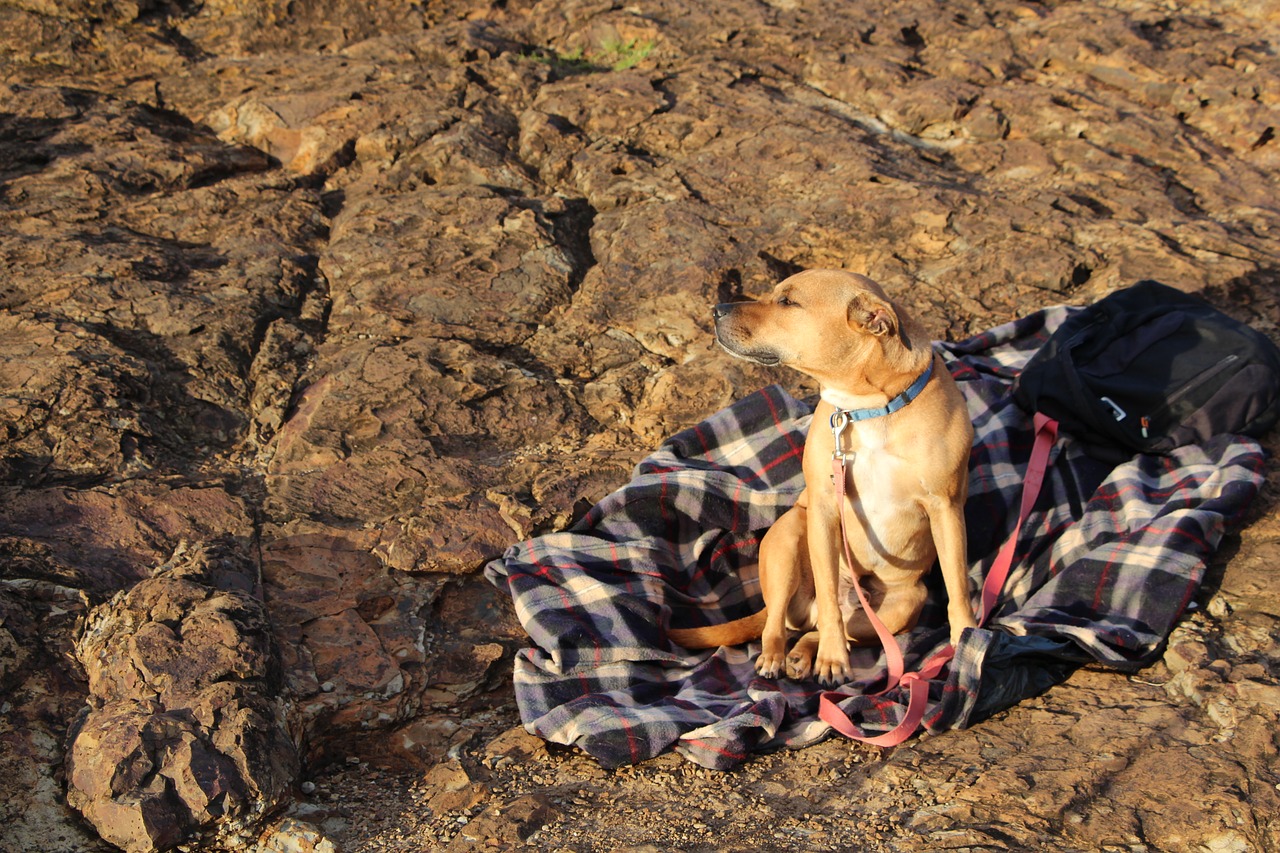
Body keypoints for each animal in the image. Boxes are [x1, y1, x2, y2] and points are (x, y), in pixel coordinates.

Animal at [665, 268, 972, 681]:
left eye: (787, 302)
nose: (716, 309)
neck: (868, 408)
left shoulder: (946, 507)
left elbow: (958, 586)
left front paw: (968, 640)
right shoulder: (825, 510)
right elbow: (827, 599)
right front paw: (832, 657)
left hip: (903, 604)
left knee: (823, 630)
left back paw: (803, 654)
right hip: (788, 540)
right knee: (779, 624)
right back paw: (777, 657)